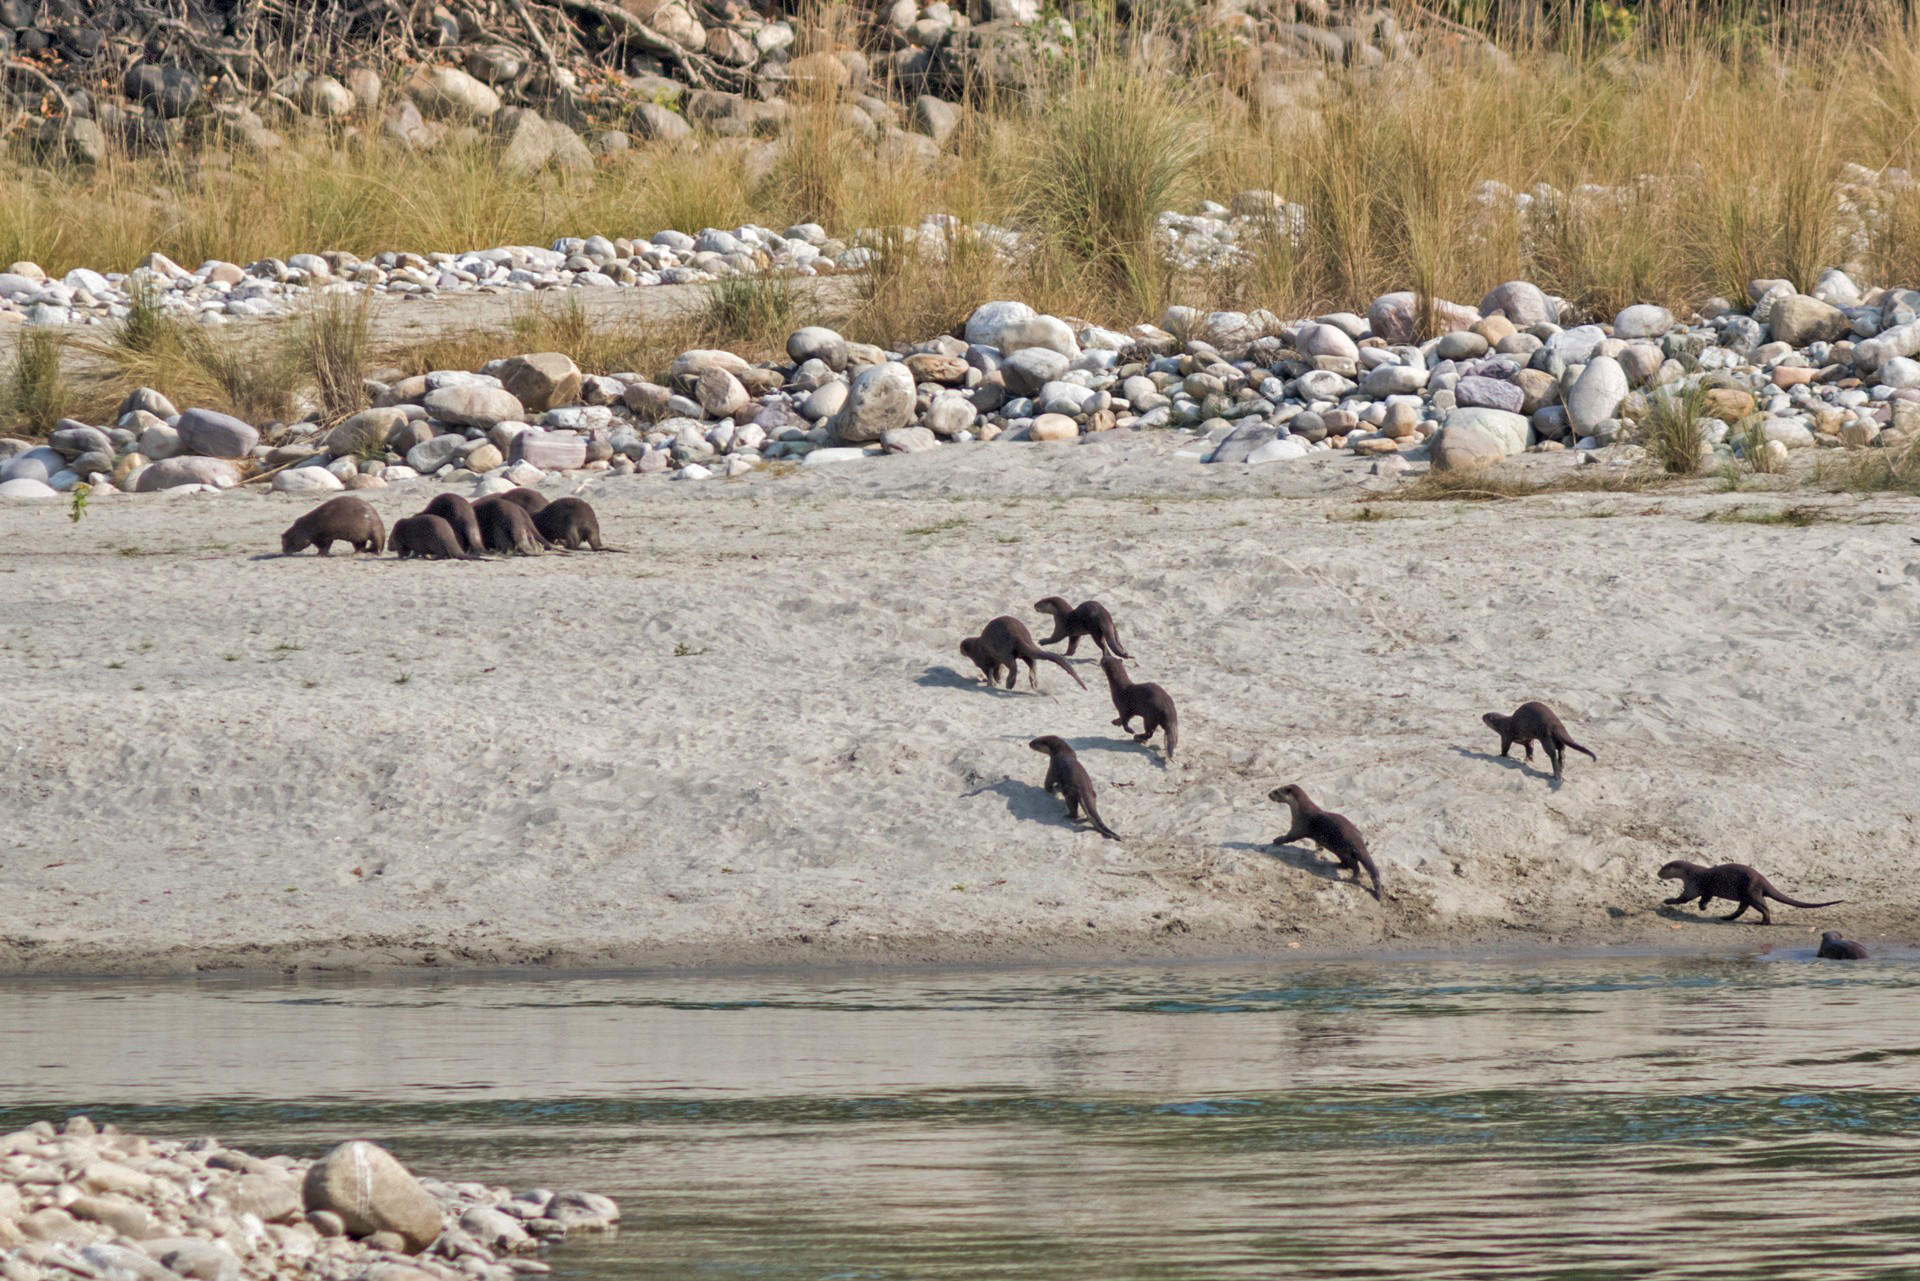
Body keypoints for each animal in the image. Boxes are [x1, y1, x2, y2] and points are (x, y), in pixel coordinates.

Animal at [1658, 861, 1842, 926]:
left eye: (1663, 868)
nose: (1658, 873)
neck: (1689, 873)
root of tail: (1763, 879)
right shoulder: (1706, 889)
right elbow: (1705, 898)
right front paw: (1703, 908)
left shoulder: (1692, 884)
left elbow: (1685, 898)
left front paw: (1667, 901)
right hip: (1746, 895)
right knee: (1741, 909)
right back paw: (1725, 918)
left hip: (1752, 893)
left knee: (1764, 908)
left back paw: (1763, 923)